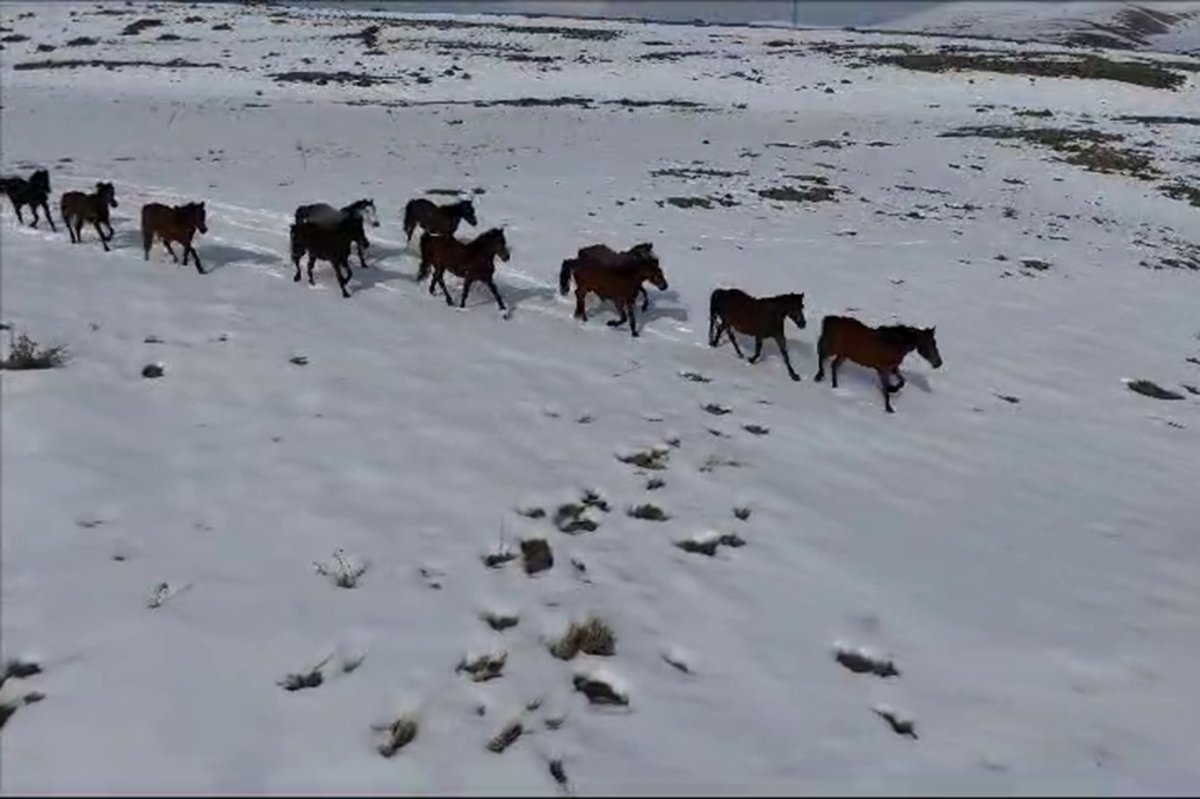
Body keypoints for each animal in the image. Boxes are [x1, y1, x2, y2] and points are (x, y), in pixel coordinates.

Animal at [811, 311, 940, 410]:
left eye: (934, 343)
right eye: (931, 343)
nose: (938, 363)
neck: (894, 344)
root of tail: (830, 319)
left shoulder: (892, 368)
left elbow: (902, 381)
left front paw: (893, 389)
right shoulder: (884, 369)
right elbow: (887, 389)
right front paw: (889, 408)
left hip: (842, 354)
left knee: (833, 365)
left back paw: (835, 385)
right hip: (833, 348)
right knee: (821, 355)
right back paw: (819, 376)